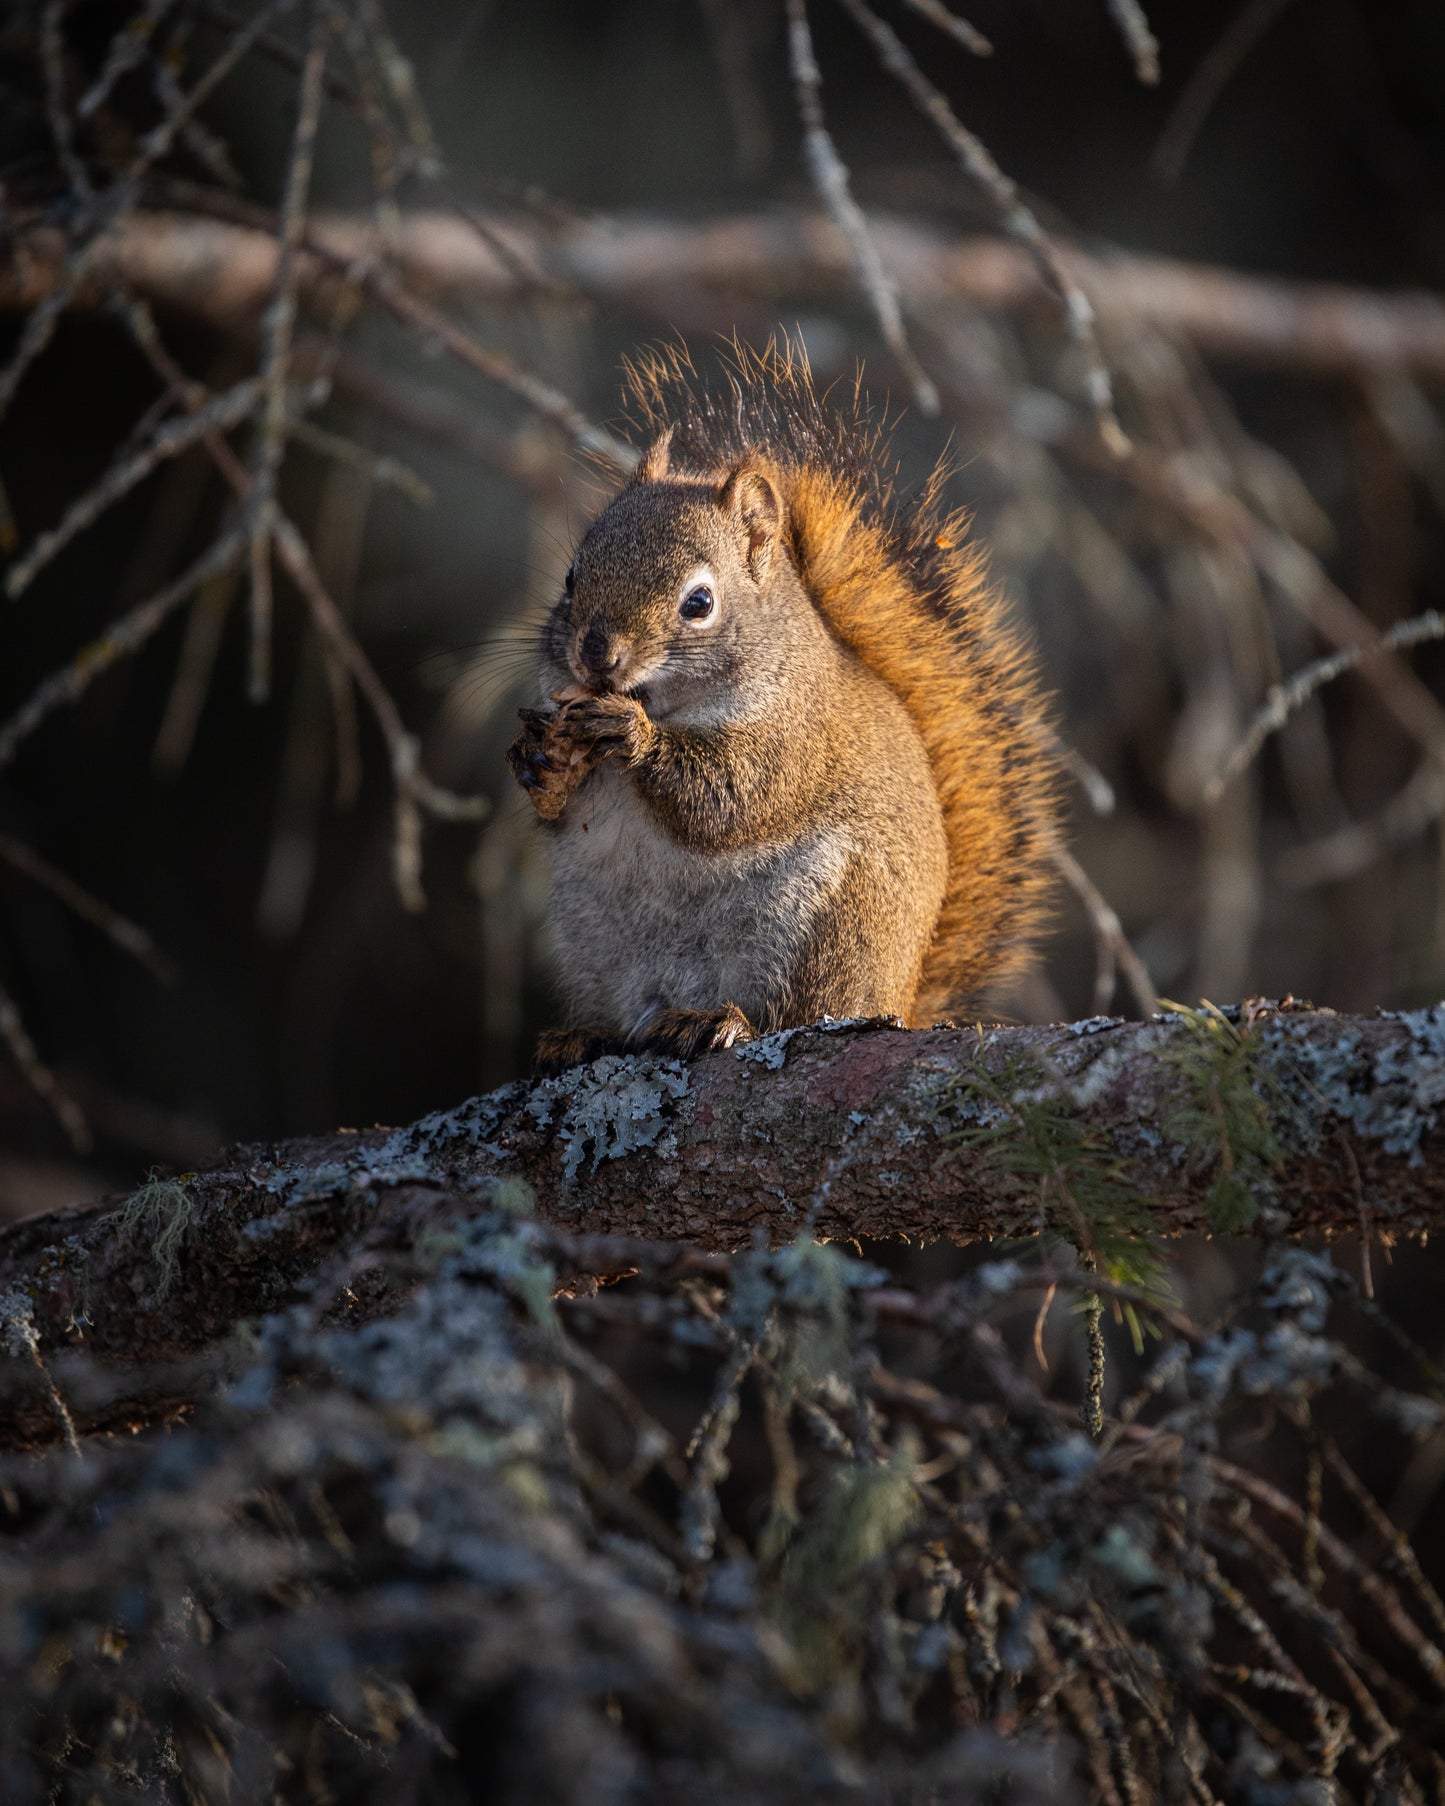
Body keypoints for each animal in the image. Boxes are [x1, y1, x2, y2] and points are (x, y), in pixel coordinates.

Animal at [506, 341, 1058, 1072]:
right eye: (571, 577)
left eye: (698, 602)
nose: (596, 654)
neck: (677, 705)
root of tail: (901, 996)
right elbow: (564, 810)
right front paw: (537, 759)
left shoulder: (796, 737)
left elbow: (730, 799)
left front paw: (631, 733)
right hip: (595, 938)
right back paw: (587, 1033)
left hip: (821, 927)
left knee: (792, 1014)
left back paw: (719, 1020)